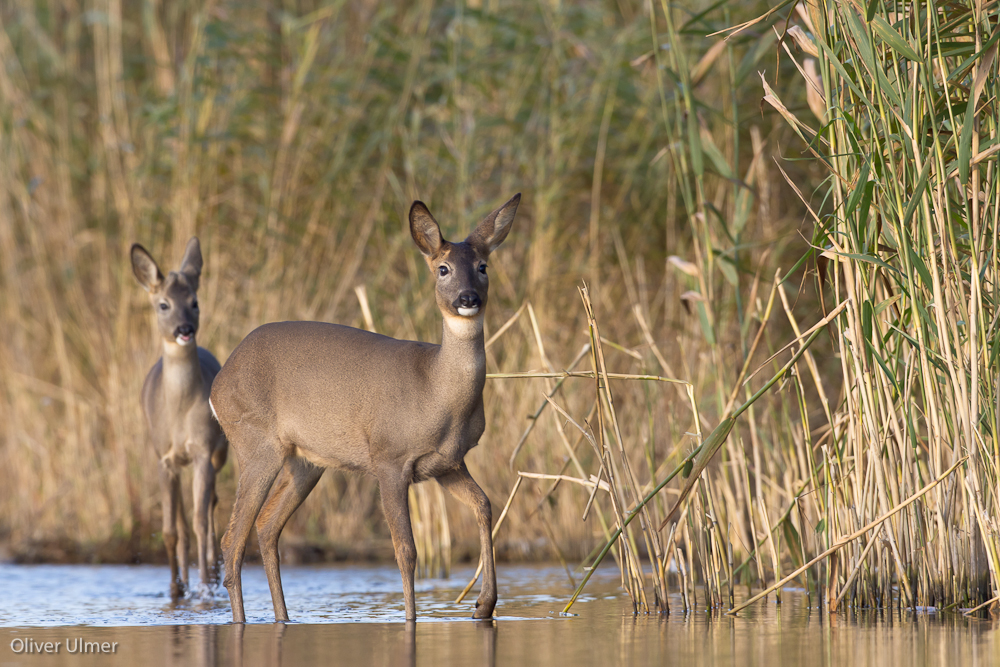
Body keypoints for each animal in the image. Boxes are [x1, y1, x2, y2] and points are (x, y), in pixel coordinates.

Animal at [130, 239, 228, 600]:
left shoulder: (202, 450)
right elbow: (171, 530)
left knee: (210, 507)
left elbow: (200, 521)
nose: (184, 329)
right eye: (163, 304)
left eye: (194, 302)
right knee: (184, 522)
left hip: (220, 453)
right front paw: (175, 587)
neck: (179, 410)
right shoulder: (164, 458)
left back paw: (211, 571)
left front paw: (204, 587)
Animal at [211, 196, 524, 624]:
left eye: (483, 266)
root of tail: (219, 381)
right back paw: (243, 619)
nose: (467, 299)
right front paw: (411, 618)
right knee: (231, 538)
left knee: (265, 525)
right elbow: (406, 549)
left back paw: (284, 617)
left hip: (306, 462)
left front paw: (484, 605)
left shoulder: (447, 463)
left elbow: (485, 506)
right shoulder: (389, 458)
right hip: (255, 442)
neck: (436, 391)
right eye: (442, 268)